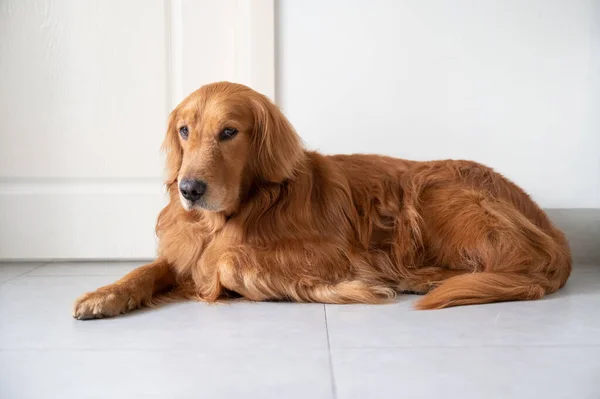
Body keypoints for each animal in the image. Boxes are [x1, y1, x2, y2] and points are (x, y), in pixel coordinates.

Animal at [71, 83, 572, 320]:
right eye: (184, 130)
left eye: (229, 131)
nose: (189, 189)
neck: (245, 209)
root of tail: (554, 233)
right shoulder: (181, 253)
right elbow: (147, 270)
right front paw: (103, 295)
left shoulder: (337, 254)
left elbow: (228, 261)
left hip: (433, 189)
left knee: (509, 265)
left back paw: (422, 278)